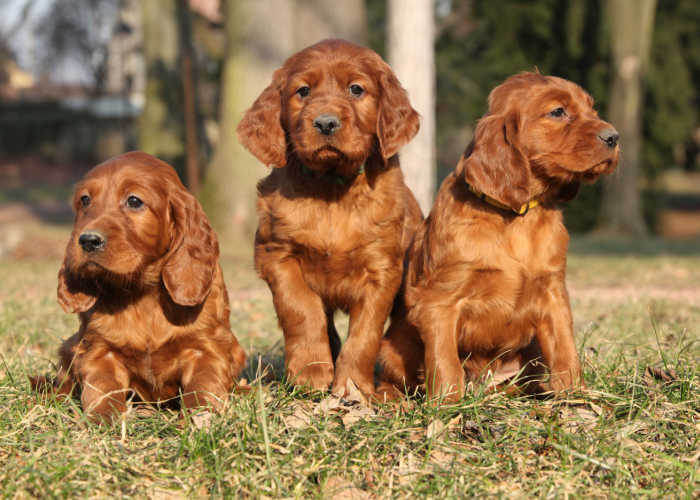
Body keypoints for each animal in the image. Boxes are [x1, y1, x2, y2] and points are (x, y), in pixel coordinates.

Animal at [32, 153, 247, 422]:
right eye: (85, 199)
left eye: (134, 201)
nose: (87, 240)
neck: (142, 292)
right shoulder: (98, 351)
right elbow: (102, 388)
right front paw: (104, 418)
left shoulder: (206, 348)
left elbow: (203, 386)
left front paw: (199, 417)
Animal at [235, 38, 422, 398]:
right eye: (303, 91)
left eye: (356, 89)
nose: (325, 123)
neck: (332, 187)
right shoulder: (277, 255)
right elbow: (302, 309)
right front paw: (310, 372)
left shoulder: (381, 270)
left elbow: (365, 332)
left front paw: (352, 385)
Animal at [378, 72, 616, 402]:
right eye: (557, 112)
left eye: (591, 109)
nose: (614, 137)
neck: (518, 216)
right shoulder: (438, 301)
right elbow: (445, 360)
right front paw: (448, 404)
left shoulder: (553, 292)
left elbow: (565, 349)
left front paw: (576, 396)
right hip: (392, 347)